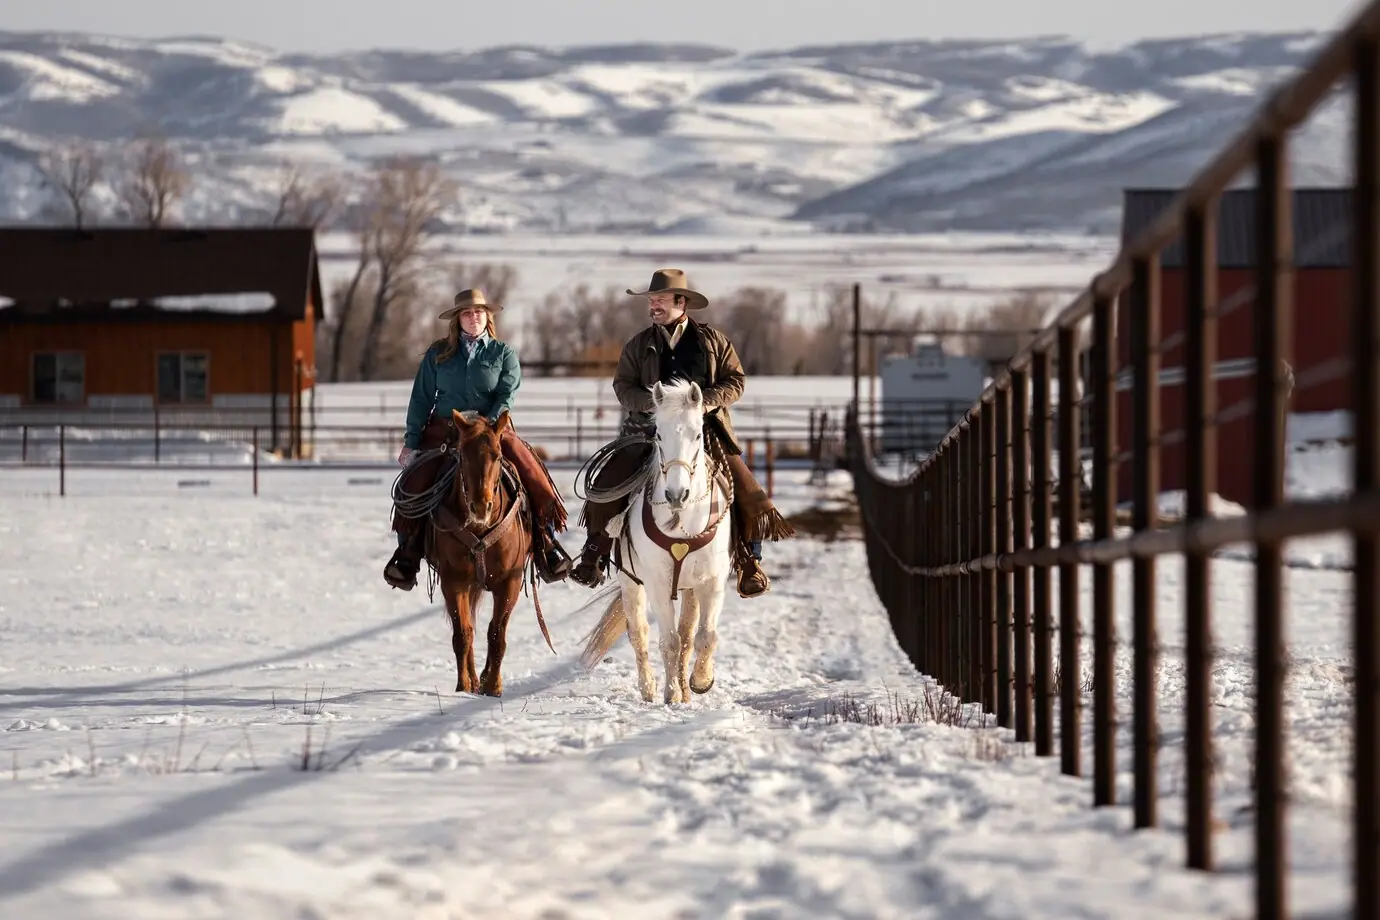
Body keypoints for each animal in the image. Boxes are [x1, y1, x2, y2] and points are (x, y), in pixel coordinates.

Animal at [427, 405, 552, 695]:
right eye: (462, 454)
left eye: (497, 455)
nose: (481, 506)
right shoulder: (454, 581)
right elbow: (463, 634)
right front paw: (463, 686)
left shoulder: (509, 582)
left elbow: (497, 634)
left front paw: (493, 685)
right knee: (470, 628)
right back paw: (473, 680)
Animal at [576, 380, 739, 706]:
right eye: (659, 435)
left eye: (698, 434)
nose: (677, 494)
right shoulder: (657, 583)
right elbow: (668, 641)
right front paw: (671, 693)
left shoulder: (712, 581)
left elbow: (704, 636)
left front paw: (700, 682)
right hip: (631, 583)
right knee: (639, 632)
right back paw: (649, 688)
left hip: (689, 588)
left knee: (688, 634)